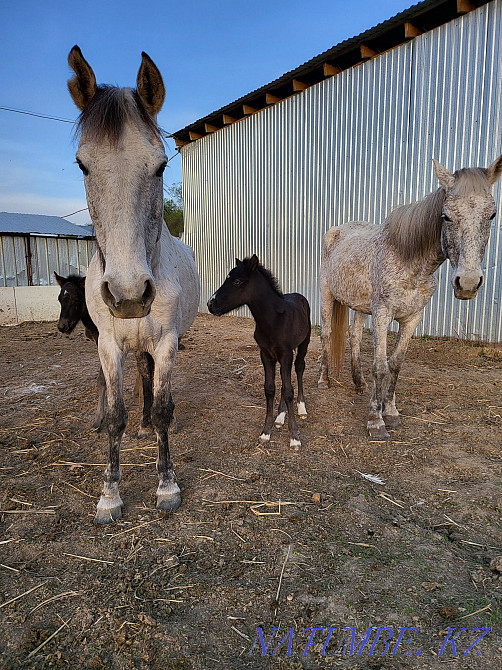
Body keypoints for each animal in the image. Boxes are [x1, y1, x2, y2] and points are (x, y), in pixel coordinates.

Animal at [54, 272, 155, 436]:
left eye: (76, 299)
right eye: (59, 299)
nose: (63, 326)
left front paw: (100, 418)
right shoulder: (100, 343)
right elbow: (103, 379)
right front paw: (98, 419)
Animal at [67, 46, 200, 523]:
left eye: (160, 166)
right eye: (82, 165)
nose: (127, 295)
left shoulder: (166, 342)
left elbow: (161, 407)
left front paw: (166, 486)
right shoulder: (108, 344)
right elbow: (115, 416)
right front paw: (110, 495)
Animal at [207, 255, 311, 449]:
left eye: (237, 281)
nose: (210, 304)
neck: (273, 320)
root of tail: (299, 296)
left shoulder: (286, 354)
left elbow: (288, 391)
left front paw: (294, 437)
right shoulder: (265, 354)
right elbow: (270, 388)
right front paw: (266, 432)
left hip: (303, 344)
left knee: (299, 367)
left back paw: (301, 407)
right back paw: (280, 416)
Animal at [318, 156, 502, 440]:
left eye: (491, 215)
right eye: (445, 216)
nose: (468, 283)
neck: (409, 262)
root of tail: (337, 231)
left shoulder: (412, 318)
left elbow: (395, 364)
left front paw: (391, 412)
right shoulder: (382, 315)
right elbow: (380, 366)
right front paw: (375, 422)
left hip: (360, 306)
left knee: (354, 336)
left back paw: (359, 383)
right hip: (328, 293)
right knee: (326, 333)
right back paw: (324, 380)